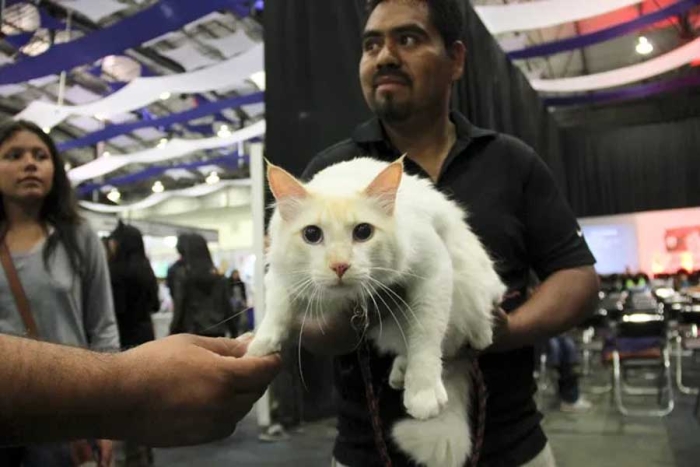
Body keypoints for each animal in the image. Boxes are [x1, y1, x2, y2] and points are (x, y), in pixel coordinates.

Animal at [249, 158, 506, 467]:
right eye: (312, 234)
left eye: (363, 232)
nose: (340, 266)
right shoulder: (280, 271)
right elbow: (277, 305)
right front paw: (259, 344)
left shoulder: (433, 270)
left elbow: (425, 338)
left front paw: (423, 394)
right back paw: (400, 372)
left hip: (472, 284)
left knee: (465, 326)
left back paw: (479, 336)